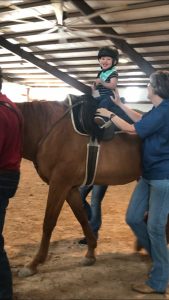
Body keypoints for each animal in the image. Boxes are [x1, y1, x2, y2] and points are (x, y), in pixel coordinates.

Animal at [16, 96, 141, 276]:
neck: (48, 129)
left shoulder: (59, 183)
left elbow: (49, 222)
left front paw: (33, 264)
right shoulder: (70, 188)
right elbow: (81, 216)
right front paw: (90, 254)